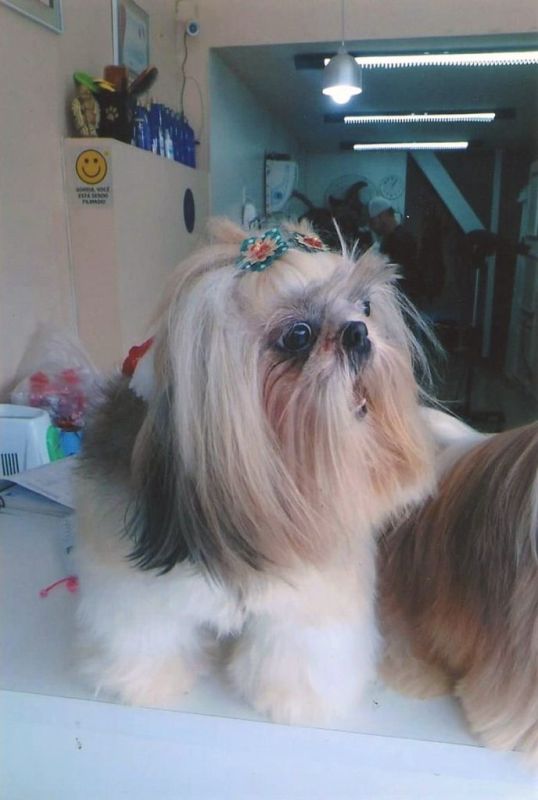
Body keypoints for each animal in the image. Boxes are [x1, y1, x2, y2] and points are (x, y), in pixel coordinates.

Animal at [75, 219, 435, 724]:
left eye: (365, 306)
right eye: (298, 335)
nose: (359, 332)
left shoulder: (309, 597)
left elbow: (298, 650)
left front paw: (295, 700)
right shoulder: (136, 588)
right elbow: (147, 635)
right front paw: (145, 683)